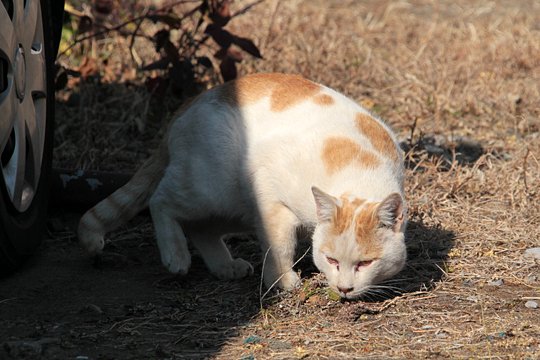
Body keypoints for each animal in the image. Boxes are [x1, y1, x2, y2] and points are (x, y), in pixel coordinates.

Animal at [78, 72, 408, 298]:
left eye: (365, 263)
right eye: (331, 259)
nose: (344, 289)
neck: (360, 171)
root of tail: (188, 104)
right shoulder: (269, 194)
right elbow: (280, 243)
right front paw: (281, 280)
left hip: (234, 208)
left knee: (200, 228)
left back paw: (225, 267)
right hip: (209, 189)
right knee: (160, 202)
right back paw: (176, 256)